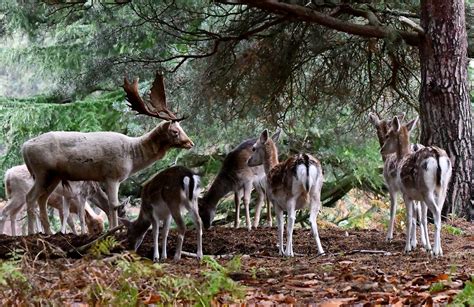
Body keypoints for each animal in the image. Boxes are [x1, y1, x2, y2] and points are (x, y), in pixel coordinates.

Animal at [19, 73, 194, 236]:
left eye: (181, 128)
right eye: (175, 131)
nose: (190, 143)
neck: (132, 156)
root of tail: (25, 147)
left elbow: (111, 206)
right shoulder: (112, 175)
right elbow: (113, 205)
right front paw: (114, 231)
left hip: (53, 176)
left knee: (42, 199)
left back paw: (48, 232)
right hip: (42, 172)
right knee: (30, 197)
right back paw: (32, 232)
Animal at [368, 112, 428, 249]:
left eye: (386, 135)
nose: (381, 149)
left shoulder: (392, 187)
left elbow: (393, 209)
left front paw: (389, 236)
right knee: (420, 211)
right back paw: (421, 242)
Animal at [380, 116, 454, 256]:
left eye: (387, 135)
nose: (381, 150)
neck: (401, 158)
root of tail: (437, 156)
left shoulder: (406, 193)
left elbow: (409, 218)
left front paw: (407, 248)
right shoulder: (419, 198)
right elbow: (422, 218)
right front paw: (426, 246)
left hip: (427, 189)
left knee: (436, 212)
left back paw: (435, 251)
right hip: (443, 188)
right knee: (438, 212)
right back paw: (439, 250)